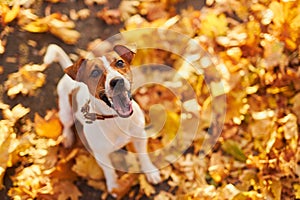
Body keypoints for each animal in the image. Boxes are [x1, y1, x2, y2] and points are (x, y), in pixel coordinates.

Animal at [42, 43, 162, 195]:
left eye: (120, 62)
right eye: (95, 73)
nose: (117, 81)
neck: (117, 120)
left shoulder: (140, 137)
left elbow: (143, 155)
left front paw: (150, 171)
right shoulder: (101, 154)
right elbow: (109, 170)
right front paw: (114, 186)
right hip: (65, 111)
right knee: (67, 125)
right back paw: (68, 137)